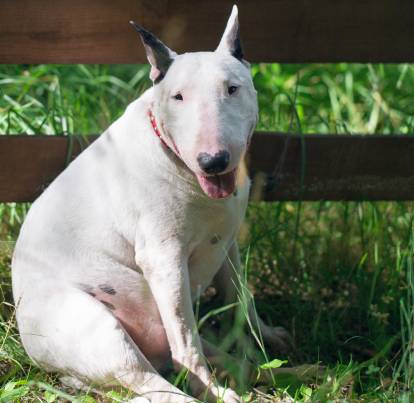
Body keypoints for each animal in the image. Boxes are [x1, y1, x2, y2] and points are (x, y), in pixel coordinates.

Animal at [11, 6, 288, 403]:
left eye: (232, 89)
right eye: (178, 97)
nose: (213, 160)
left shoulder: (228, 243)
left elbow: (241, 296)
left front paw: (267, 335)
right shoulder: (163, 259)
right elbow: (185, 337)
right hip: (97, 326)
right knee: (153, 376)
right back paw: (212, 390)